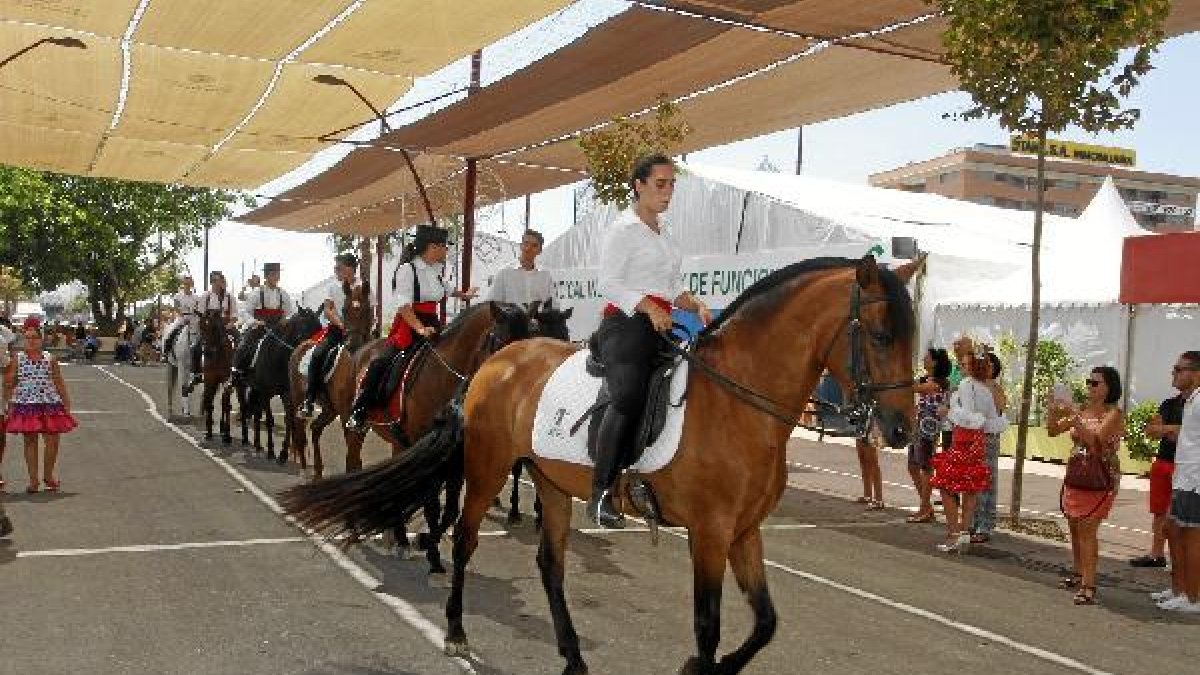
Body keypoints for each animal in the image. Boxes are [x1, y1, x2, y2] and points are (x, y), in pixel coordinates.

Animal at [282, 256, 921, 674]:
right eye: (881, 333)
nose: (900, 431)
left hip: (550, 483)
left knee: (551, 565)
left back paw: (571, 654)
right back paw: (457, 629)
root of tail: (492, 368)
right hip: (485, 470)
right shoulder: (710, 533)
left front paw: (704, 667)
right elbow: (709, 626)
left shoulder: (744, 532)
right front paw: (698, 666)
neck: (736, 402)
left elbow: (764, 624)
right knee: (463, 540)